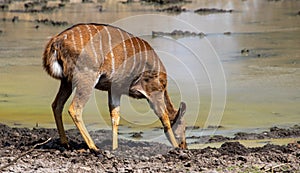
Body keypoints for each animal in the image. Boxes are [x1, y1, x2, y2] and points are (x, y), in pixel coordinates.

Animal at [43, 23, 186, 151]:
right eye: (184, 126)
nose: (184, 145)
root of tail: (56, 41)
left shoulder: (115, 90)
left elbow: (115, 117)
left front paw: (115, 148)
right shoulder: (154, 91)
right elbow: (165, 117)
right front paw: (175, 147)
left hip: (66, 81)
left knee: (56, 105)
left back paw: (65, 143)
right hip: (86, 78)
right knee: (74, 109)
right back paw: (94, 147)